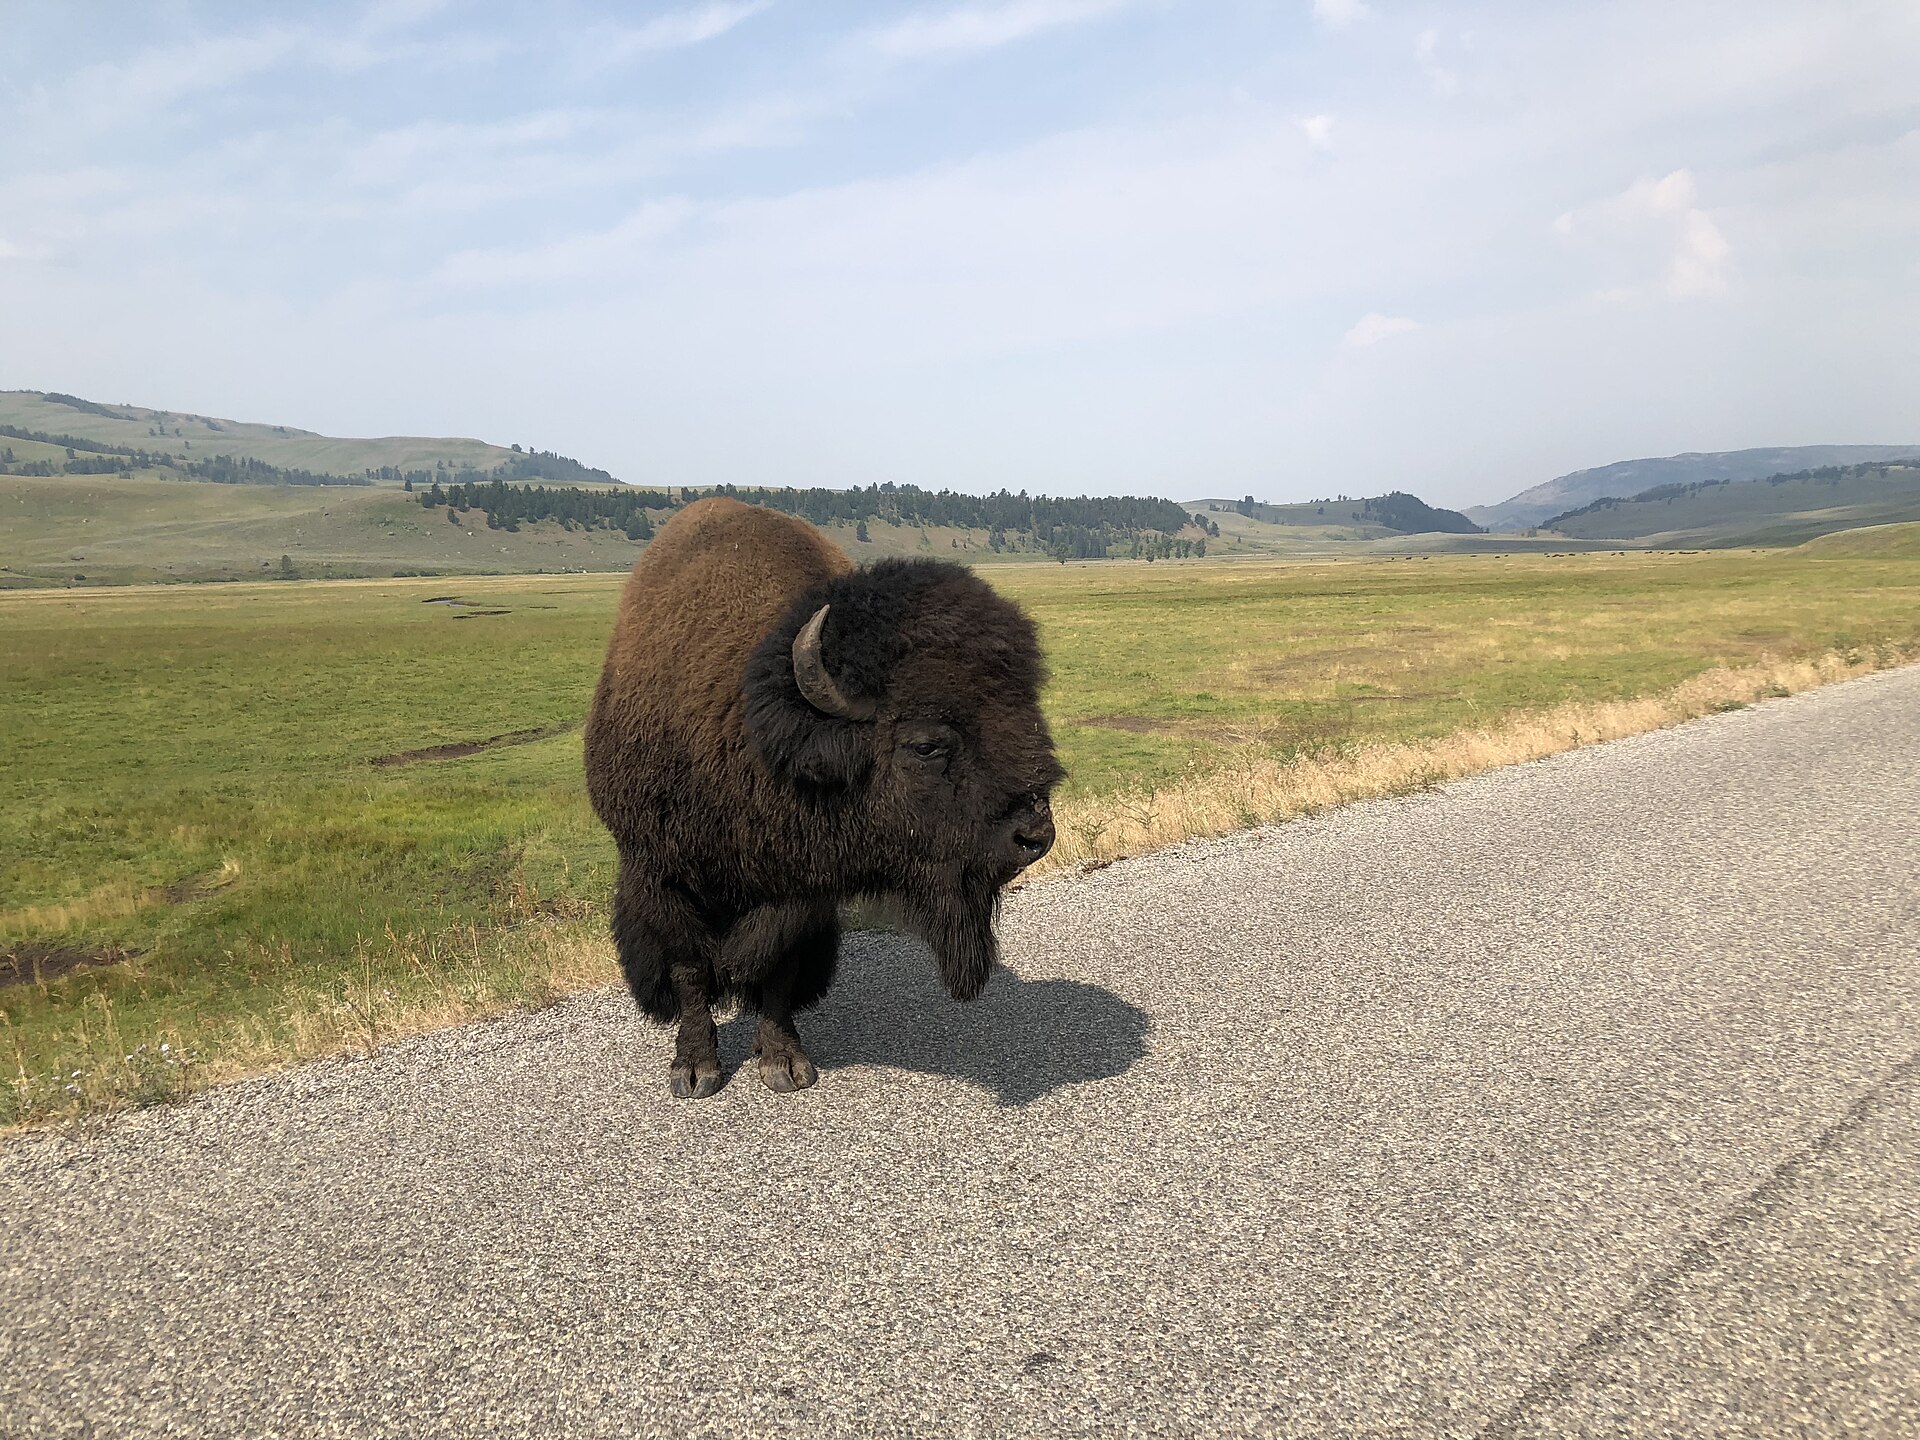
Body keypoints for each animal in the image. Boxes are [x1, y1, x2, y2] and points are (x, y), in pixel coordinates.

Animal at [584, 498, 1061, 1098]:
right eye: (925, 744)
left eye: (1027, 714)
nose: (1035, 835)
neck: (753, 730)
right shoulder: (662, 874)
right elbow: (689, 968)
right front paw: (695, 1069)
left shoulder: (800, 896)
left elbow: (777, 972)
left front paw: (784, 1063)